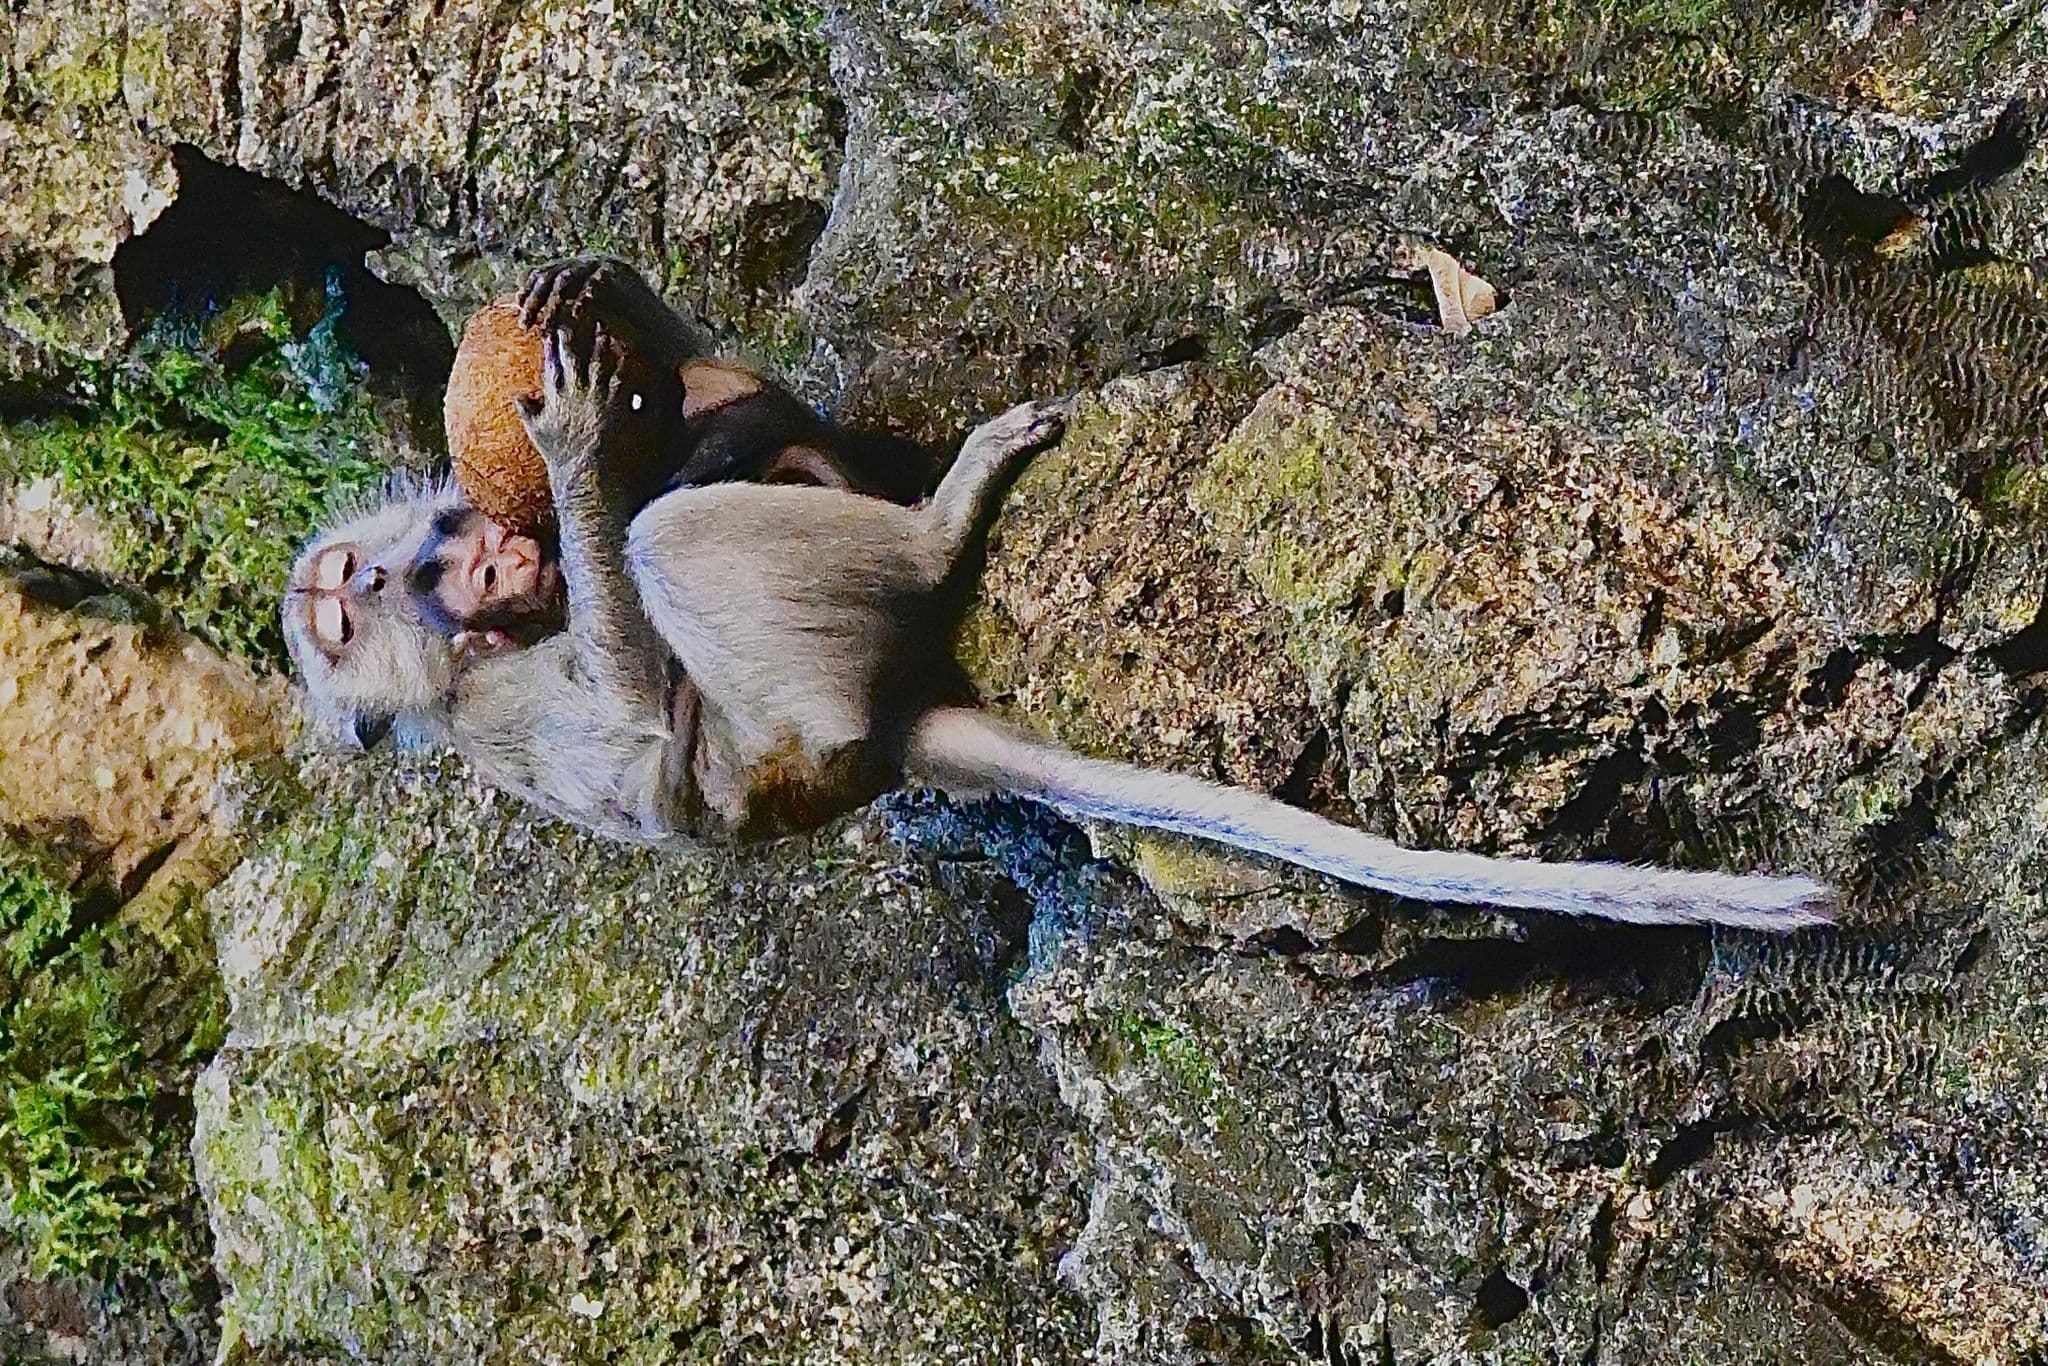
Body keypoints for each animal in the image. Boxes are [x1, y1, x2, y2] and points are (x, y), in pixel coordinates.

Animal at [284, 266, 1833, 932]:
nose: (487, 562)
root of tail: (885, 740)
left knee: (738, 472)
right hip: (805, 691)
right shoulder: (499, 701)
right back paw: (932, 526)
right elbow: (629, 722)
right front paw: (572, 448)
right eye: (363, 604)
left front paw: (621, 312)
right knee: (676, 544)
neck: (484, 639)